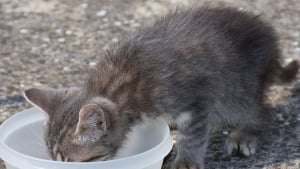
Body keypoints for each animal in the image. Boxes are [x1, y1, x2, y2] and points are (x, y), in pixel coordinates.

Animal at [23, 6, 298, 169]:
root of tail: (272, 47)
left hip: (236, 91)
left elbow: (193, 135)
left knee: (260, 112)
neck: (119, 83)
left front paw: (186, 161)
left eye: (72, 161)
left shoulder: (196, 98)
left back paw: (246, 133)